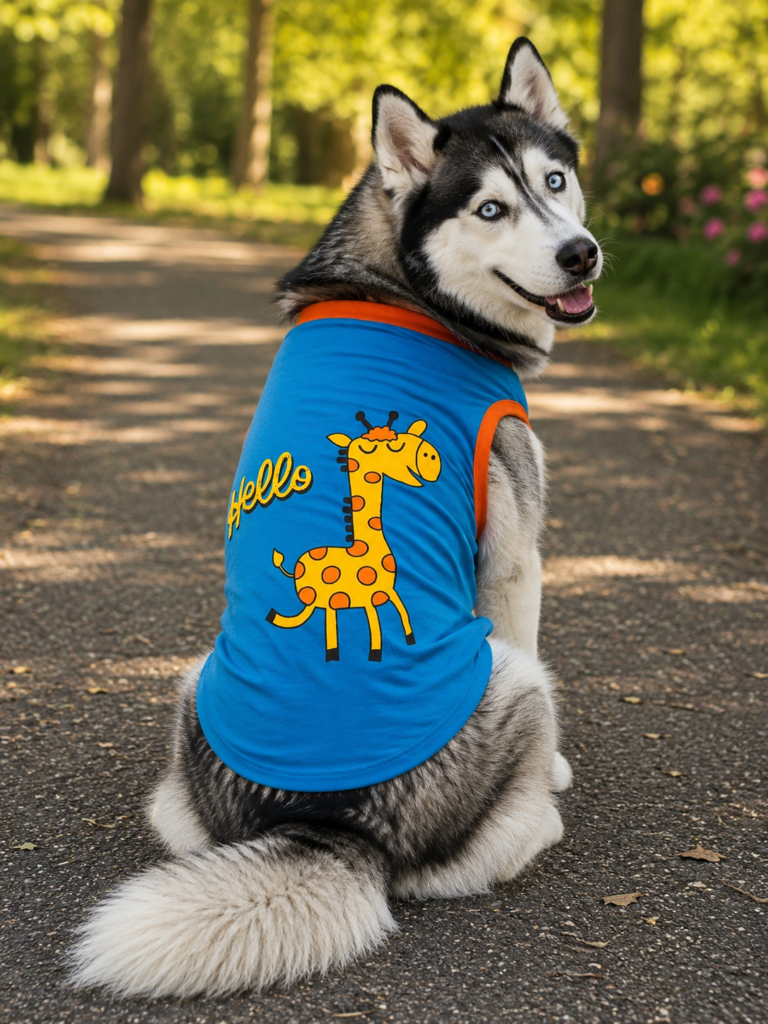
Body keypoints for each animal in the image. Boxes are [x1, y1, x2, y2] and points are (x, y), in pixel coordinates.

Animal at [267, 410, 441, 662]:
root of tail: (294, 568)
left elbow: (402, 611)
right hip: (323, 600)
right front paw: (375, 653)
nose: (432, 457)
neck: (365, 548)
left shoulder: (388, 592)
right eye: (384, 446)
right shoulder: (369, 598)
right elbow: (376, 627)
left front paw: (409, 638)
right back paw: (332, 654)